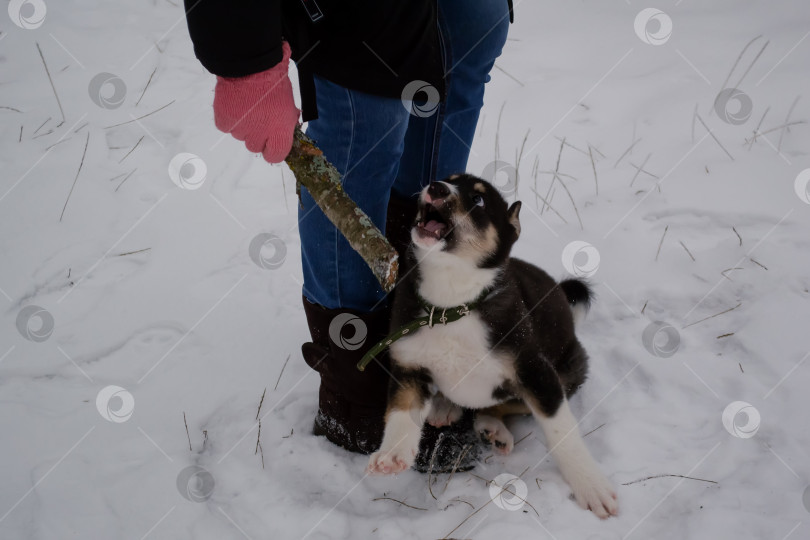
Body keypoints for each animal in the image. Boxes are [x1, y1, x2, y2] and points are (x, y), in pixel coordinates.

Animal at [366, 175, 620, 516]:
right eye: (448, 179)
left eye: (479, 200)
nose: (436, 187)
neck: (451, 305)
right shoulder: (408, 364)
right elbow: (401, 411)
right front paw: (392, 454)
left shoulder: (535, 371)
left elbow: (562, 433)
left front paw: (591, 486)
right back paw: (451, 409)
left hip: (569, 372)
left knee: (503, 404)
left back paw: (491, 427)